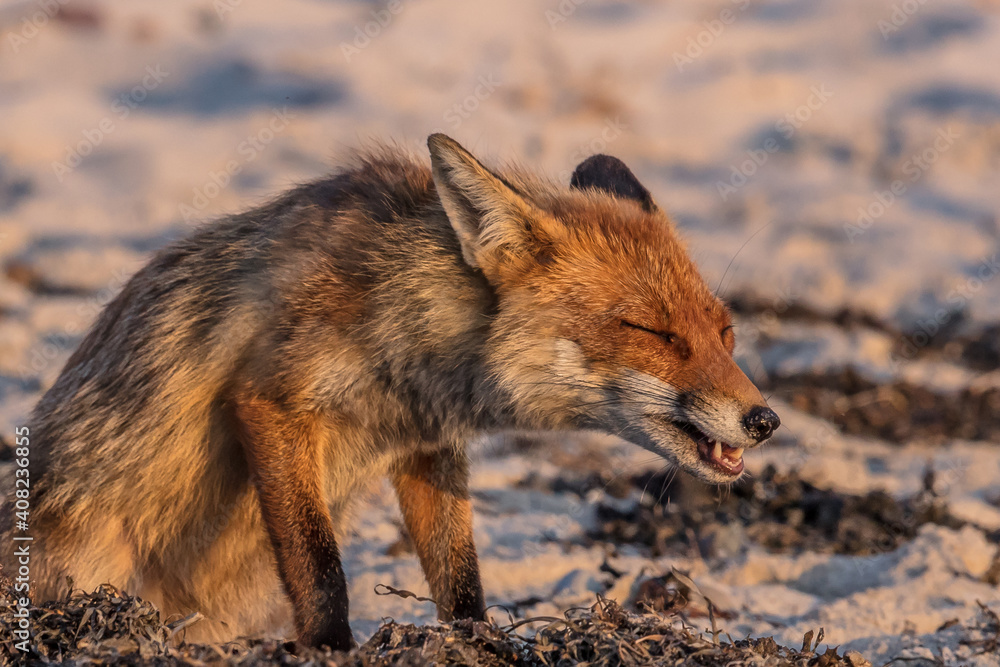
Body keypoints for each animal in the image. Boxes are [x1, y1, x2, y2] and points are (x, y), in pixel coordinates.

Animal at [1, 134, 779, 651]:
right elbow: (320, 567)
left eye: (724, 333)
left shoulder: (427, 448)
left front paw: (476, 645)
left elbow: (460, 579)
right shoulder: (270, 402)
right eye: (653, 332)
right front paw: (332, 650)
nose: (765, 419)